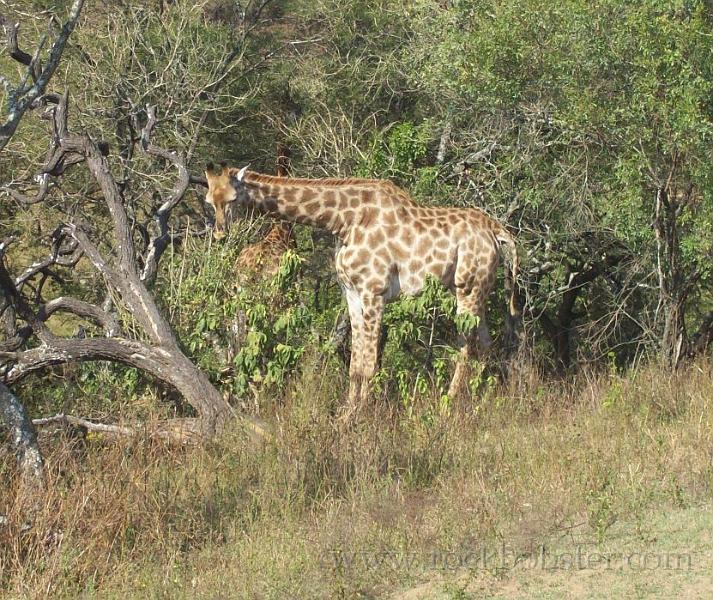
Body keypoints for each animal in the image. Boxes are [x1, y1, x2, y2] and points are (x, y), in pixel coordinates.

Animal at [203, 166, 520, 414]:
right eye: (209, 200)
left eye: (232, 199)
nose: (219, 235)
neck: (344, 221)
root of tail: (497, 232)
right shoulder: (352, 293)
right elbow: (355, 366)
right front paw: (346, 412)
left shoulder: (374, 290)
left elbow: (369, 365)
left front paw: (360, 417)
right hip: (475, 289)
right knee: (486, 344)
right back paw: (481, 401)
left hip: (468, 288)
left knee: (467, 346)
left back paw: (449, 403)